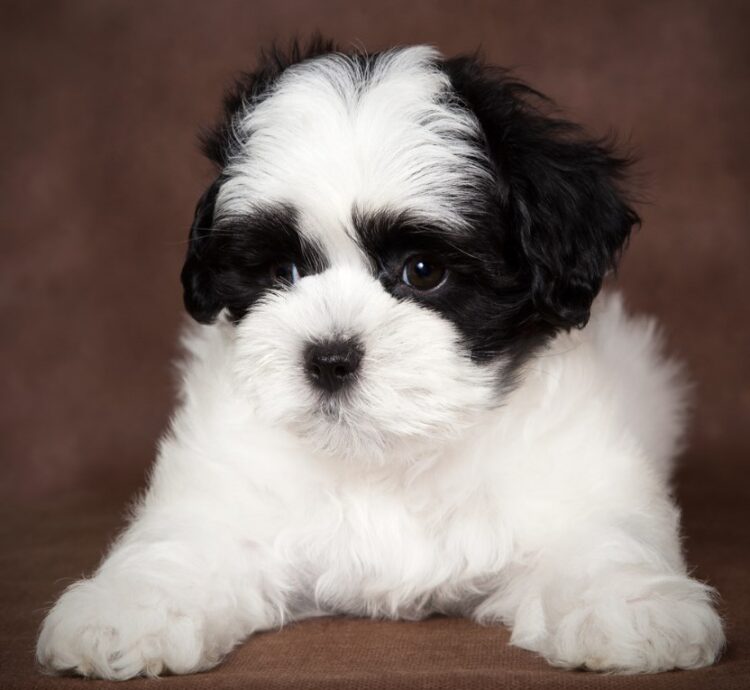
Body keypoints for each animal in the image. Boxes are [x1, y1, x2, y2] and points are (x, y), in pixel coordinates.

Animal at [38, 40, 724, 676]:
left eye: (422, 271)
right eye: (282, 272)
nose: (329, 357)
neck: (386, 459)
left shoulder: (573, 474)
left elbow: (602, 538)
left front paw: (629, 608)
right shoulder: (225, 482)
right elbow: (183, 542)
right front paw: (126, 611)